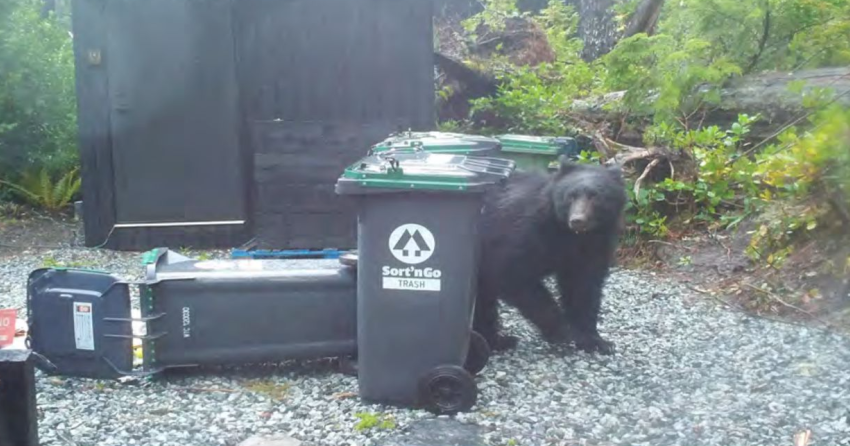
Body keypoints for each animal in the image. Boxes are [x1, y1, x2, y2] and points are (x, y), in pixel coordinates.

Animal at [473, 156, 627, 354]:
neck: (569, 234)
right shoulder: (522, 232)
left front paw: (596, 341)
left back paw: (498, 340)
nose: (577, 220)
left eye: (595, 196)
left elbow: (584, 286)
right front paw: (563, 330)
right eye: (571, 196)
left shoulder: (594, 245)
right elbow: (513, 274)